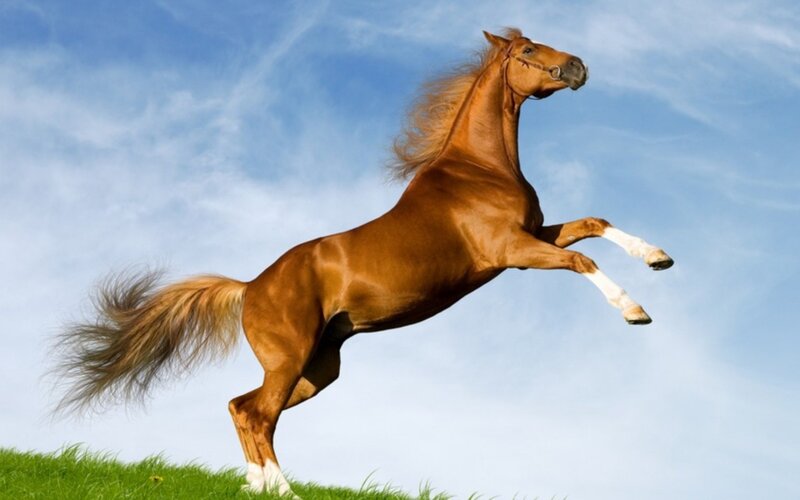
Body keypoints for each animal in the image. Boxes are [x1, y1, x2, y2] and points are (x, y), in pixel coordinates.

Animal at [54, 28, 673, 497]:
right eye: (526, 51)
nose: (579, 66)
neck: (479, 169)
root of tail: (250, 286)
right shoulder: (512, 252)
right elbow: (582, 262)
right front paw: (636, 311)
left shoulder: (534, 235)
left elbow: (593, 224)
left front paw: (658, 257)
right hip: (290, 359)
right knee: (256, 413)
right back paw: (284, 492)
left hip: (317, 370)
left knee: (241, 407)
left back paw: (256, 487)